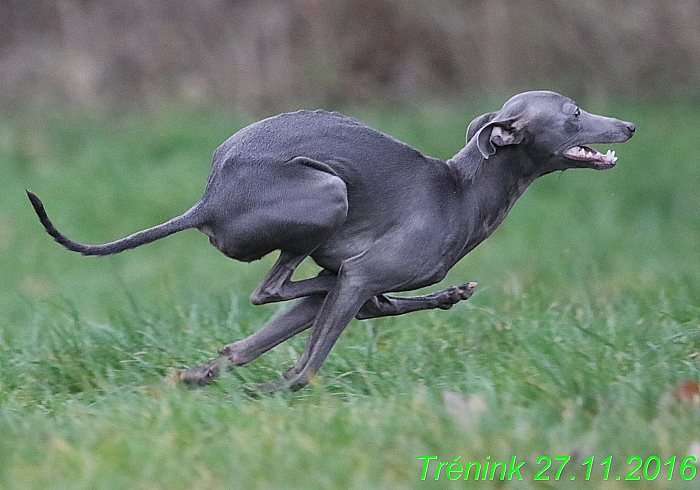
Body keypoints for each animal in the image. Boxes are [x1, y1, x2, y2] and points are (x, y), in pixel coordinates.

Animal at [28, 91, 636, 390]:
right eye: (575, 113)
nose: (629, 126)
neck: (461, 191)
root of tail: (209, 199)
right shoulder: (362, 273)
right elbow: (305, 369)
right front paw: (273, 388)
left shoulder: (347, 280)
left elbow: (246, 348)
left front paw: (206, 375)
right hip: (327, 191)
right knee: (274, 290)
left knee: (283, 302)